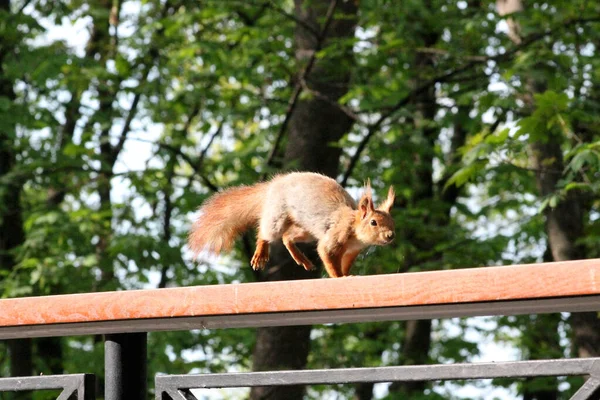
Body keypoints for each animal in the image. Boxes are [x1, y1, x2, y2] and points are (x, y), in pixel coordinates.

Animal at [188, 172, 394, 278]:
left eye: (392, 222)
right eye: (373, 222)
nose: (390, 236)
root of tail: (272, 185)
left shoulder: (352, 251)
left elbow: (345, 263)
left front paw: (347, 274)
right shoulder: (336, 236)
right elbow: (327, 255)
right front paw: (339, 277)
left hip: (306, 229)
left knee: (288, 237)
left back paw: (302, 259)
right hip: (278, 215)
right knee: (267, 232)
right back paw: (261, 253)